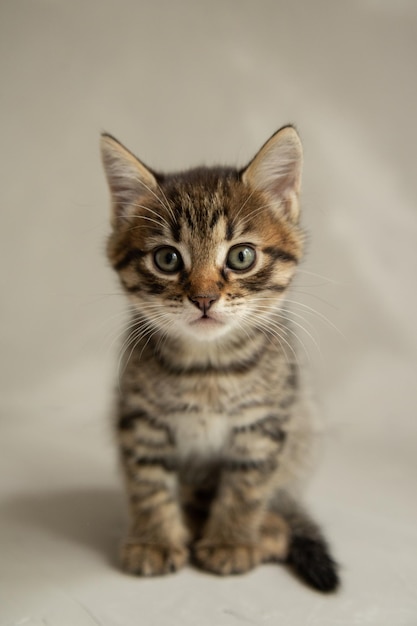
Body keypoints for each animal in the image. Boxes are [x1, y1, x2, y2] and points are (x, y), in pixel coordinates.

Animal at [100, 125, 338, 588]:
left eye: (241, 256)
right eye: (167, 258)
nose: (205, 298)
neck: (207, 368)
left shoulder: (264, 422)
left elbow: (245, 488)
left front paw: (231, 541)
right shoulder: (139, 416)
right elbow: (147, 481)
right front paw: (155, 541)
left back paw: (268, 530)